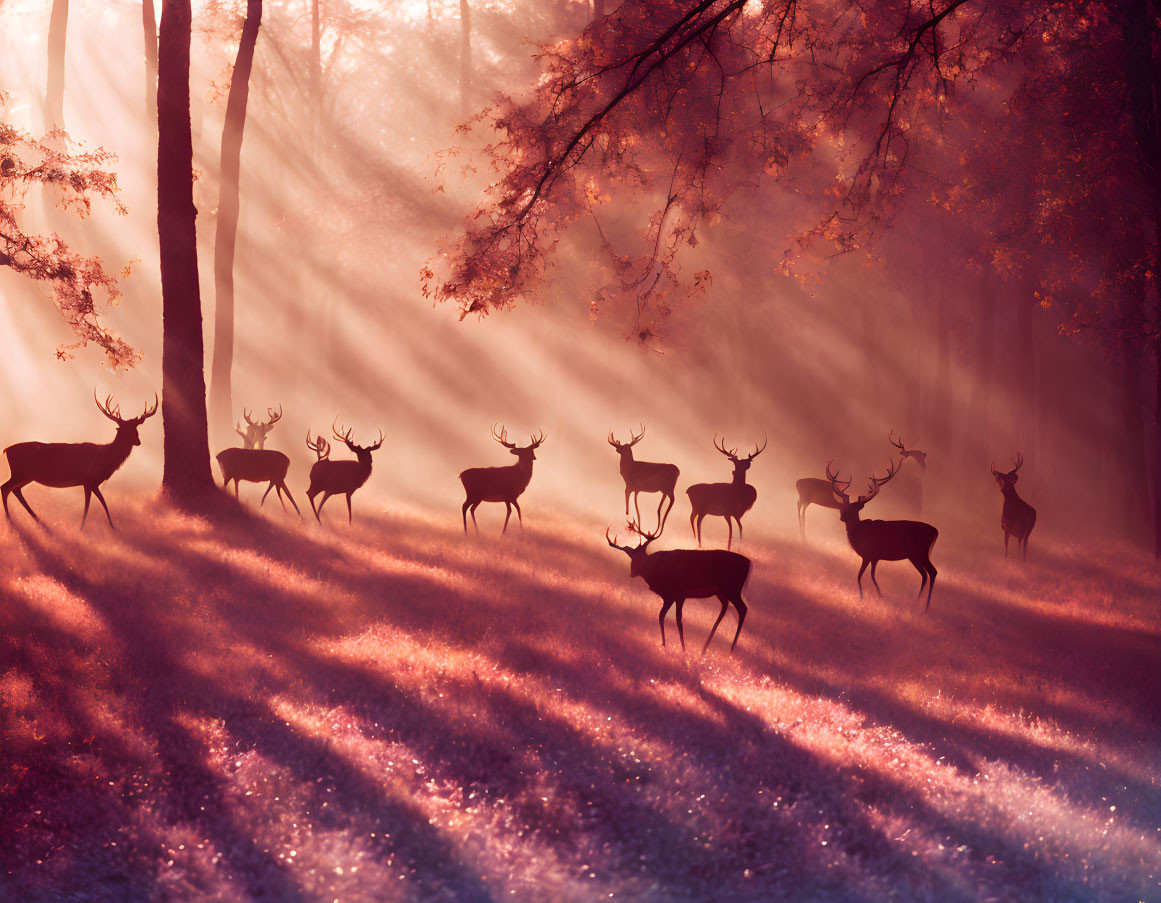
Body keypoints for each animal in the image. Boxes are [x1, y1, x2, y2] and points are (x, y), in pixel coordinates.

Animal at [2, 387, 159, 526]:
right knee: (5, 487)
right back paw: (10, 519)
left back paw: (36, 519)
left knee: (15, 490)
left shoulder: (91, 482)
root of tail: (6, 450)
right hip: (21, 473)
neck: (106, 458)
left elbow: (102, 504)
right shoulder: (89, 480)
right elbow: (91, 507)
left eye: (136, 429)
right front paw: (84, 528)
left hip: (27, 475)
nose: (138, 442)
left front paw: (112, 527)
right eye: (125, 430)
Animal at [608, 517, 752, 649]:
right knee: (726, 607)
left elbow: (678, 620)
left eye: (640, 557)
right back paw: (705, 648)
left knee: (743, 609)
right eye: (631, 557)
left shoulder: (679, 593)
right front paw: (664, 644)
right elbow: (661, 616)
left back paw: (731, 649)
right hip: (722, 591)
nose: (632, 573)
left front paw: (683, 649)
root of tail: (749, 563)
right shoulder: (669, 596)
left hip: (732, 588)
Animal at [821, 457, 938, 612]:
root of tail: (936, 531)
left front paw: (867, 596)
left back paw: (924, 606)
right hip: (915, 555)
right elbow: (870, 575)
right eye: (844, 507)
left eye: (854, 510)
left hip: (920, 552)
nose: (842, 518)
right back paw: (918, 603)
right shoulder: (874, 557)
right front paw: (877, 595)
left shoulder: (868, 553)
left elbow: (860, 576)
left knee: (932, 571)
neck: (858, 533)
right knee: (925, 574)